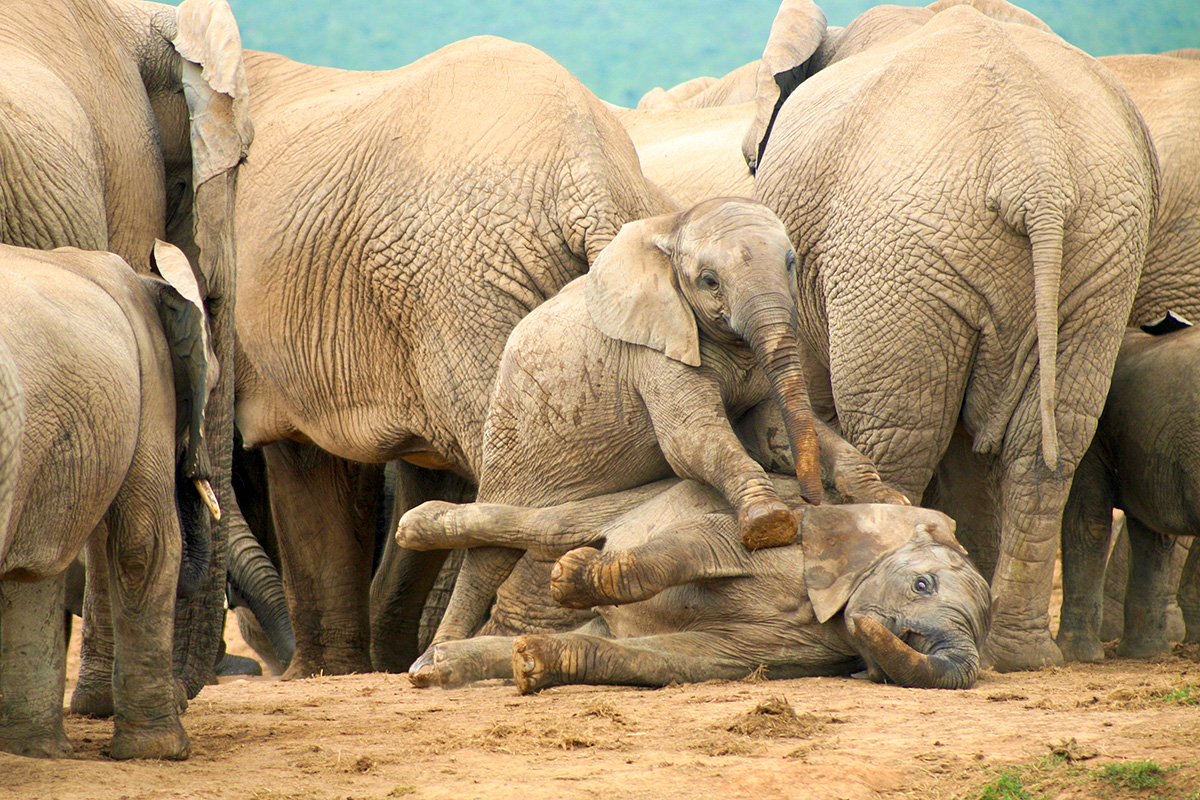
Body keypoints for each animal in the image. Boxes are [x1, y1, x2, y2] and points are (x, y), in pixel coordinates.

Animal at [0, 241, 213, 759]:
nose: (182, 696)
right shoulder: (151, 376)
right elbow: (146, 542)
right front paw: (162, 752)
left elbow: (34, 568)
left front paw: (36, 753)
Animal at [396, 475, 992, 691]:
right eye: (922, 586)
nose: (880, 625)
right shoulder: (787, 532)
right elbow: (697, 543)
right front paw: (568, 577)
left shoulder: (804, 647)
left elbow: (684, 660)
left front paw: (532, 665)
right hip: (644, 495)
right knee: (550, 524)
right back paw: (416, 525)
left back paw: (433, 667)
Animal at [745, 0, 1158, 671]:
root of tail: (1036, 171)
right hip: (1098, 254)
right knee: (1049, 442)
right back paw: (1016, 656)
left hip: (895, 255)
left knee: (898, 436)